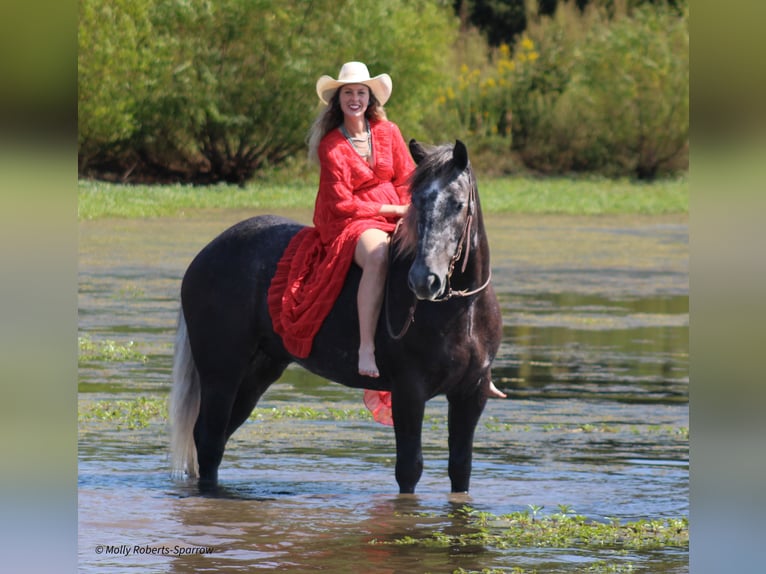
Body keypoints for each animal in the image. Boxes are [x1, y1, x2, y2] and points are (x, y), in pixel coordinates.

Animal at [170, 138, 504, 496]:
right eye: (416, 201)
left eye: (457, 204)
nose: (423, 280)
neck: (463, 312)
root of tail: (206, 254)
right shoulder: (409, 391)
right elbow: (409, 468)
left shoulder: (471, 393)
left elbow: (461, 468)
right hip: (221, 373)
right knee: (209, 440)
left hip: (258, 372)